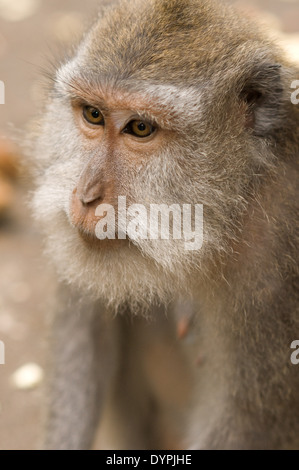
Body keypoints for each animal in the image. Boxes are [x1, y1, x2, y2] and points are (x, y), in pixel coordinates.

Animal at [31, 0, 299, 450]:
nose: (86, 197)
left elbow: (246, 420)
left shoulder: (276, 262)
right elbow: (86, 326)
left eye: (141, 128)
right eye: (93, 115)